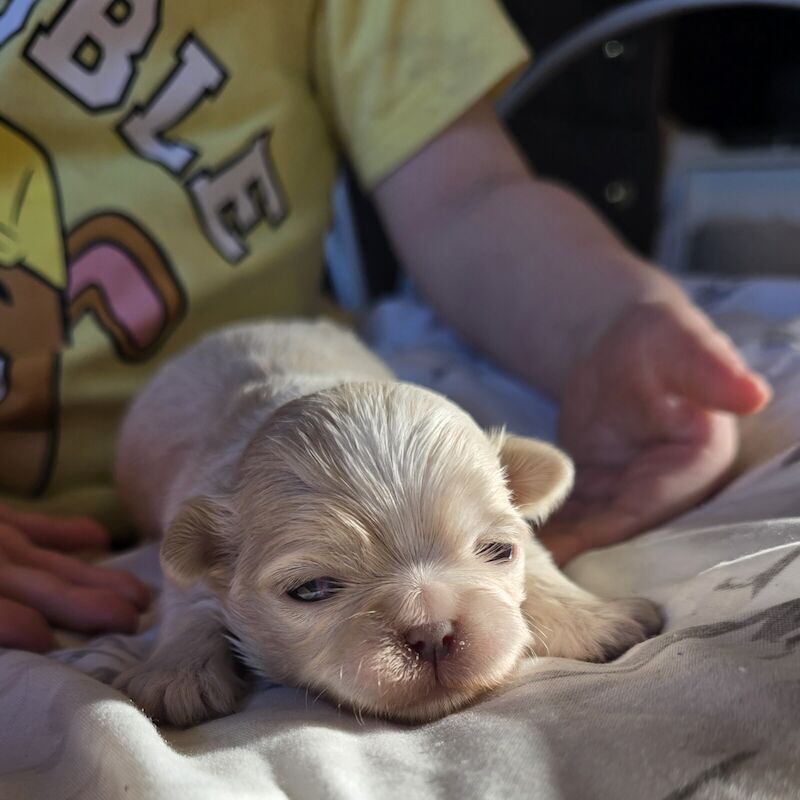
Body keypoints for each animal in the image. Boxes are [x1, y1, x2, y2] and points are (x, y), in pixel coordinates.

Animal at [112, 318, 664, 724]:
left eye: (499, 551)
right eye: (310, 589)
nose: (432, 632)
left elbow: (542, 566)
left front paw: (599, 621)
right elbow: (188, 603)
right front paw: (176, 675)